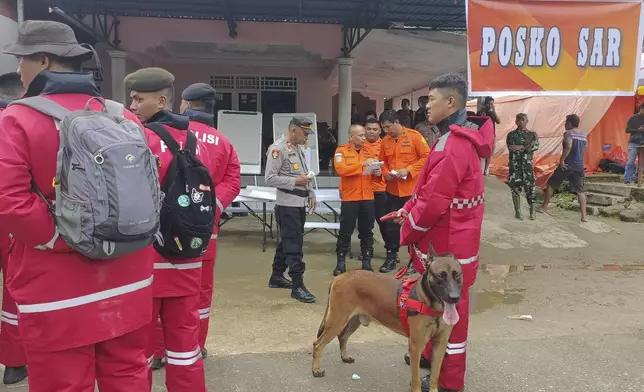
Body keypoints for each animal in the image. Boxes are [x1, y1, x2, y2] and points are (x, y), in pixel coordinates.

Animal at [312, 247, 462, 390]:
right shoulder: (416, 346)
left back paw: (344, 357)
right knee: (318, 344)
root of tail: (339, 277)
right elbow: (416, 381)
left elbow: (435, 377)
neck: (429, 303)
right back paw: (316, 370)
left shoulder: (440, 345)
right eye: (440, 276)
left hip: (354, 320)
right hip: (336, 321)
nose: (454, 298)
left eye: (457, 275)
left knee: (343, 336)